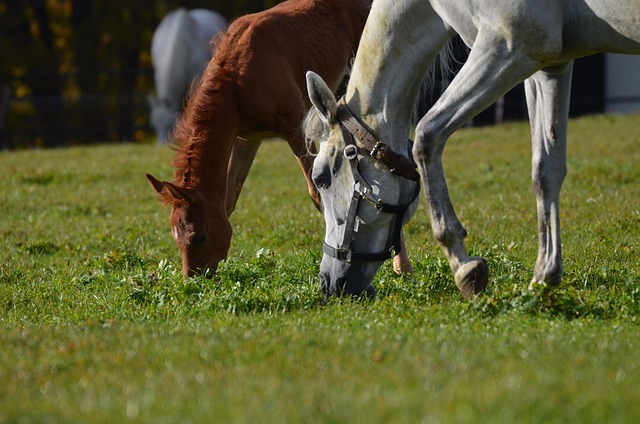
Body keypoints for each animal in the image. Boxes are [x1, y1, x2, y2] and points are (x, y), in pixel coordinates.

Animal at [305, 0, 640, 300]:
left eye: (321, 177)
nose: (327, 284)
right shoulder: (549, 68)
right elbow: (545, 172)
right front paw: (544, 277)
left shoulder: (509, 45)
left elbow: (426, 137)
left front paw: (463, 266)